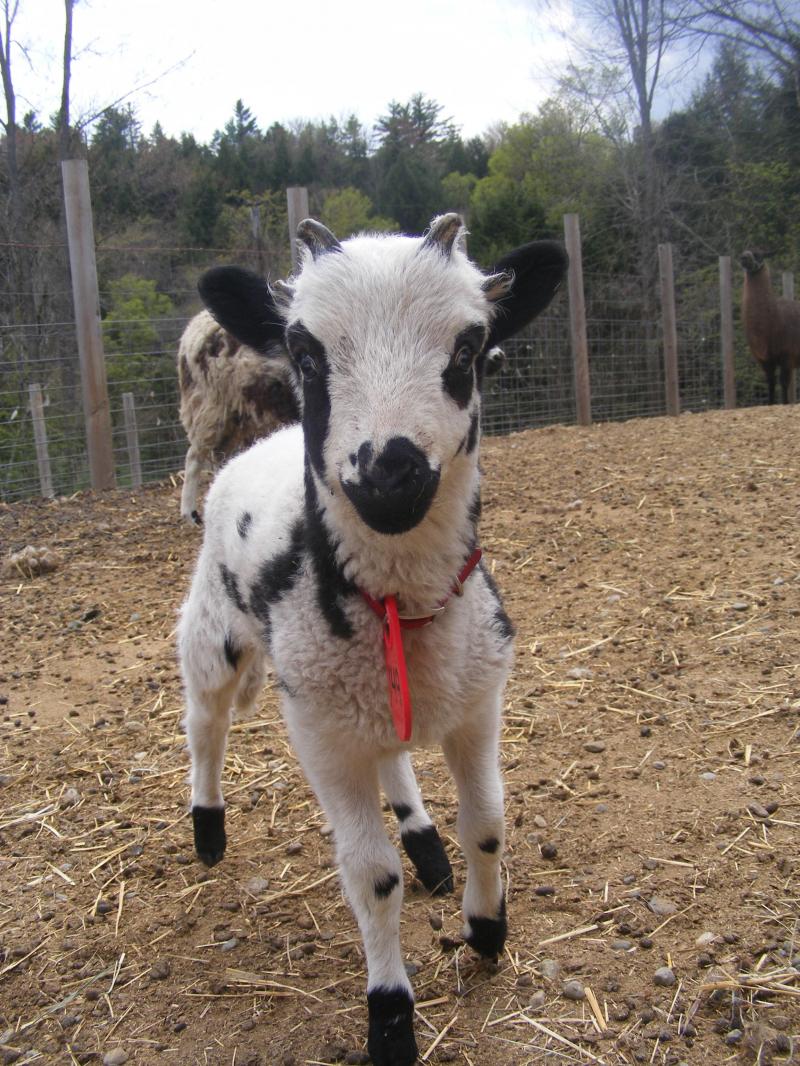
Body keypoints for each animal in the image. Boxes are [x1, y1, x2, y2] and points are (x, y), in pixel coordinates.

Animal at [740, 249, 800, 404]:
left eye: (758, 254)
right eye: (744, 252)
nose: (744, 257)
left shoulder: (787, 353)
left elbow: (783, 383)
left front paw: (785, 403)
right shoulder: (764, 359)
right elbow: (770, 382)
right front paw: (771, 403)